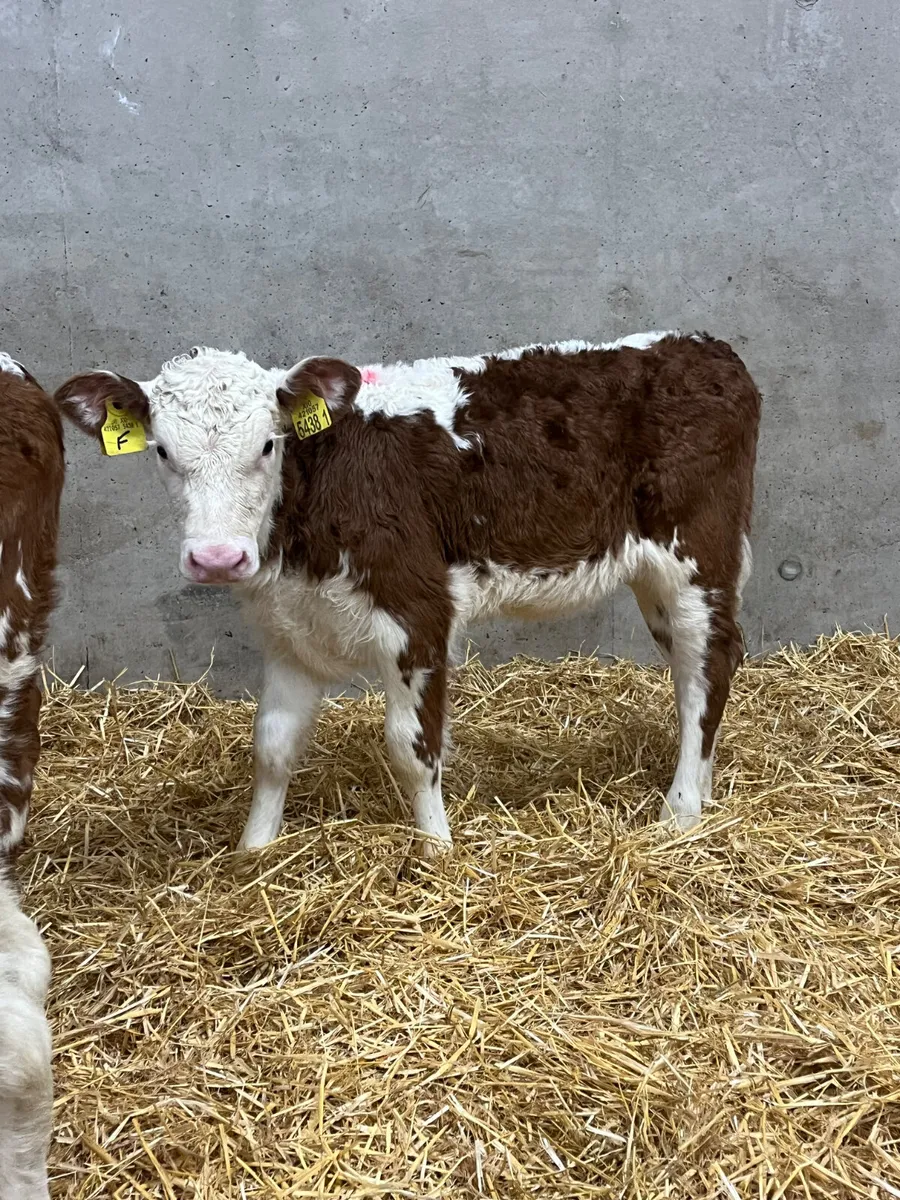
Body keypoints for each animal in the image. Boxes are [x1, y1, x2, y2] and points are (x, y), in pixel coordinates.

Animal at [55, 331, 760, 857]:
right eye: (162, 452)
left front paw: (436, 850)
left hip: (698, 551)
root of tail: (705, 347)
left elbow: (411, 747)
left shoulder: (418, 610)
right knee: (692, 669)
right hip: (655, 576)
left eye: (268, 444)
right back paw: (701, 785)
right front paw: (254, 853)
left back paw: (681, 811)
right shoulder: (288, 627)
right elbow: (273, 746)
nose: (217, 558)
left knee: (711, 662)